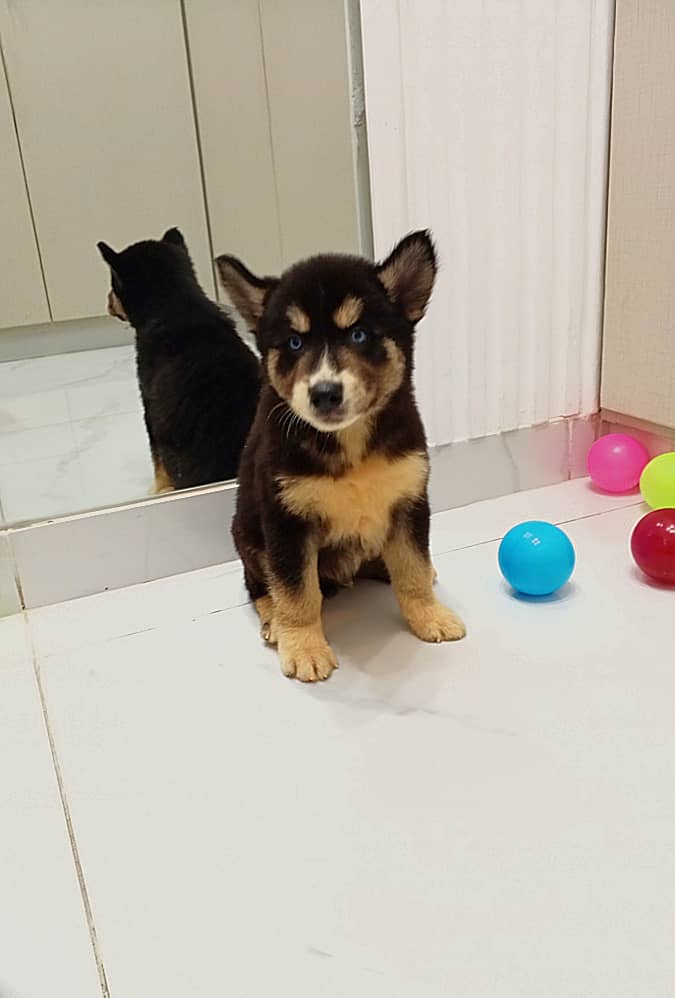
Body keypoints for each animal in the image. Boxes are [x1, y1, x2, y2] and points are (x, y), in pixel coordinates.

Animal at [97, 227, 258, 492]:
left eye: (113, 284)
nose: (107, 301)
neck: (176, 308)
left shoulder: (149, 410)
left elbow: (157, 463)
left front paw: (158, 490)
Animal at [217, 232, 464, 688]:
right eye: (294, 342)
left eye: (360, 335)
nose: (325, 392)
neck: (349, 441)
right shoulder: (286, 521)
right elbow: (296, 592)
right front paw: (303, 646)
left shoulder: (409, 501)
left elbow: (413, 569)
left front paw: (429, 616)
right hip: (246, 533)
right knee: (259, 584)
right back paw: (273, 621)